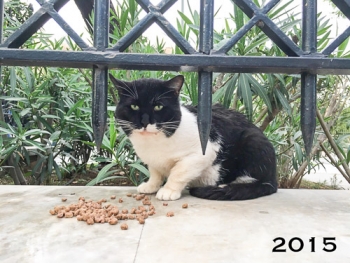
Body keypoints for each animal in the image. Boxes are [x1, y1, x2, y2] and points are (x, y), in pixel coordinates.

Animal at [110, 75, 278, 202]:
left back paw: (224, 187)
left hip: (253, 141)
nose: (144, 122)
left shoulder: (205, 151)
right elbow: (155, 172)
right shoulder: (153, 161)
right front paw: (151, 185)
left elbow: (179, 171)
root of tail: (274, 180)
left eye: (158, 106)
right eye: (134, 106)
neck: (154, 144)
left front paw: (168, 190)